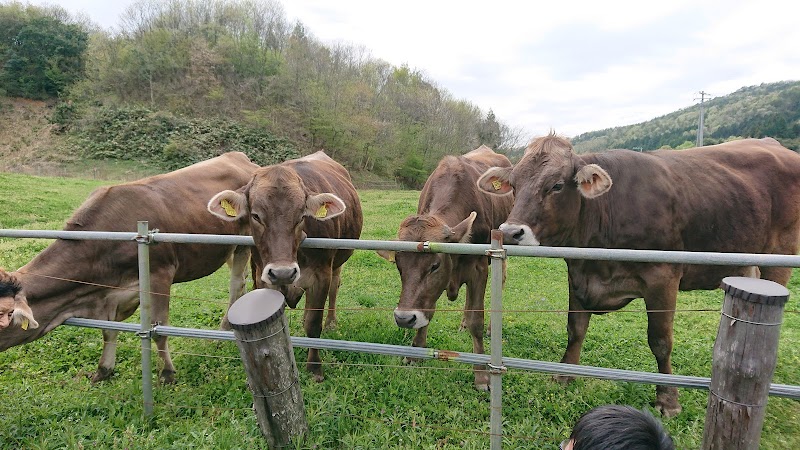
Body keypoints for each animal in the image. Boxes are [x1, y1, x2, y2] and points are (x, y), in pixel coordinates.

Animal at [0, 154, 260, 384]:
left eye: (4, 316)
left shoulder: (160, 273)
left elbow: (159, 328)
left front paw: (167, 374)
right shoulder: (113, 294)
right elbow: (109, 331)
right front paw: (103, 370)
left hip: (244, 243)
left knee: (237, 285)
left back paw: (222, 332)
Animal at [209, 152, 366, 384]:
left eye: (301, 216)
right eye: (256, 216)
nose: (283, 272)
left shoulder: (321, 277)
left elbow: (313, 323)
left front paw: (314, 368)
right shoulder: (263, 277)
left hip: (338, 261)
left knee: (335, 287)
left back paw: (331, 321)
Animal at [380, 146, 512, 392]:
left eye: (435, 265)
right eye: (399, 266)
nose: (403, 318)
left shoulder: (479, 267)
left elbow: (476, 320)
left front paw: (481, 376)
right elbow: (428, 310)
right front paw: (415, 352)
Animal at [478, 132, 800, 416]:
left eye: (556, 185)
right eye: (515, 185)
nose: (511, 232)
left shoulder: (663, 278)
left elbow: (660, 341)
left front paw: (668, 399)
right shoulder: (578, 273)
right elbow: (575, 329)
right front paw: (564, 375)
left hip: (779, 258)